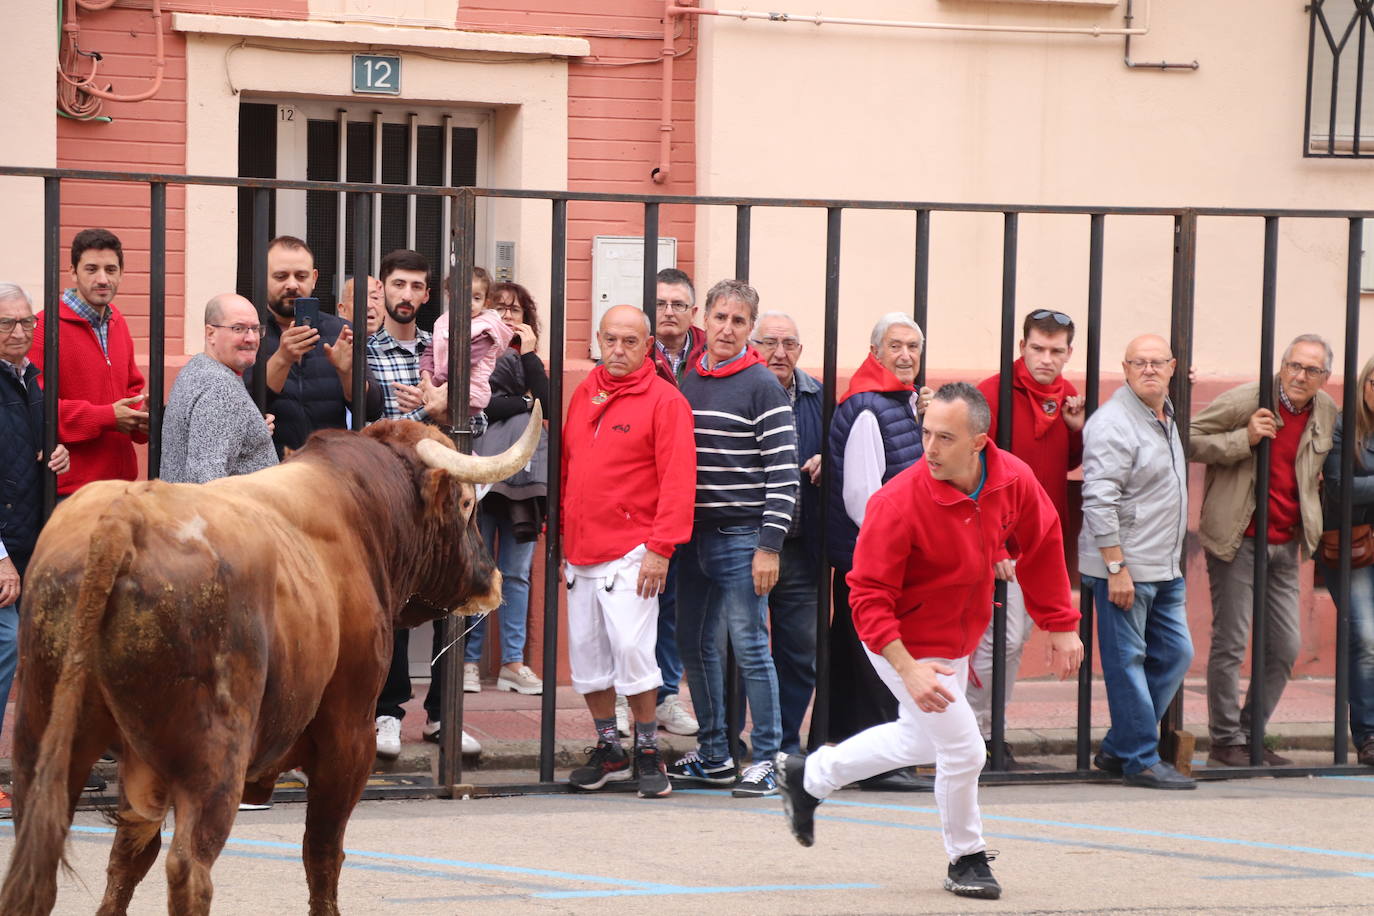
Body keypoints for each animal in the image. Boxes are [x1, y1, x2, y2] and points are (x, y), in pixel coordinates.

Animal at [1, 409, 541, 916]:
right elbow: (322, 852)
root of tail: (124, 516)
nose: (490, 578)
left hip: (44, 737)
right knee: (190, 869)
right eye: (467, 504)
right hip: (215, 757)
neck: (359, 510)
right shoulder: (349, 735)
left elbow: (128, 858)